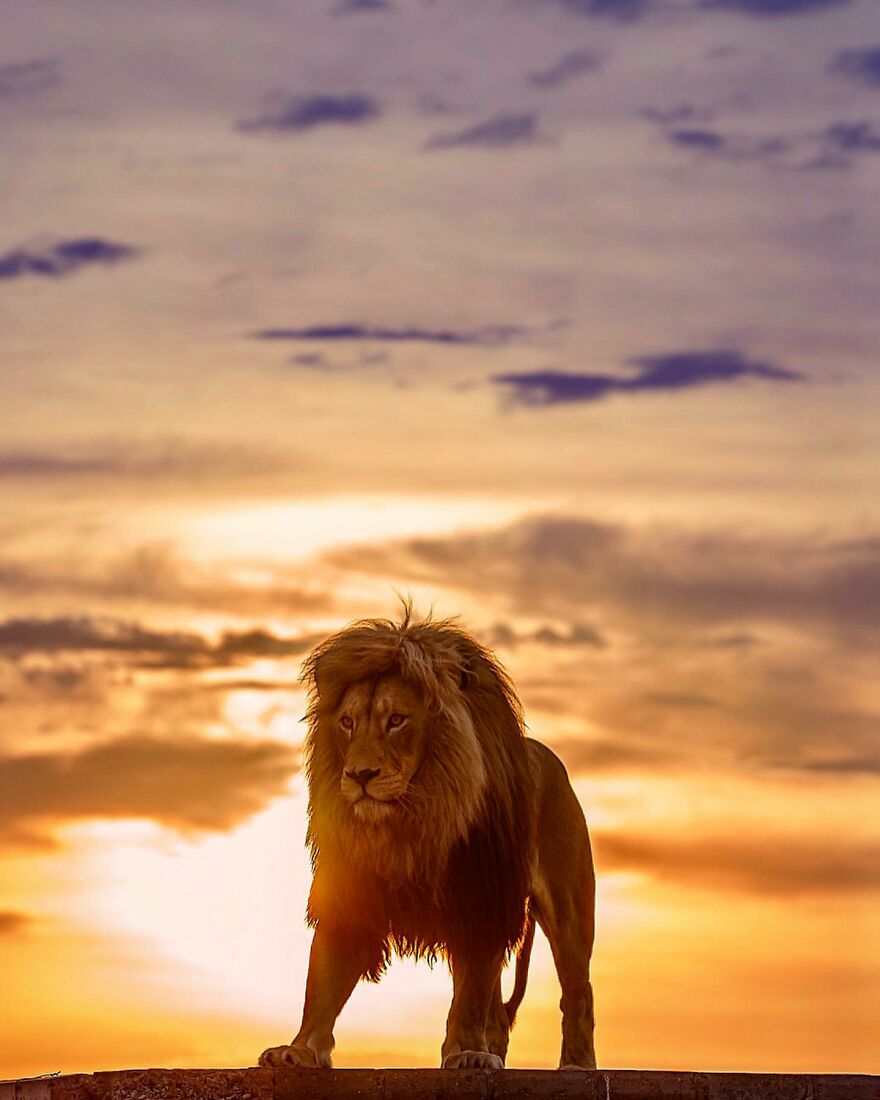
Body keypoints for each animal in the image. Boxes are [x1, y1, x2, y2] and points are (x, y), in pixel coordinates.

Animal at [258, 608, 596, 1071]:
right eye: (346, 723)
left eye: (396, 720)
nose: (359, 775)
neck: (409, 820)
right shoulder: (348, 897)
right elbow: (323, 981)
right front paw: (300, 1049)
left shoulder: (481, 900)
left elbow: (470, 994)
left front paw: (468, 1052)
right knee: (498, 1008)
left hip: (568, 913)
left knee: (577, 994)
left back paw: (575, 1065)